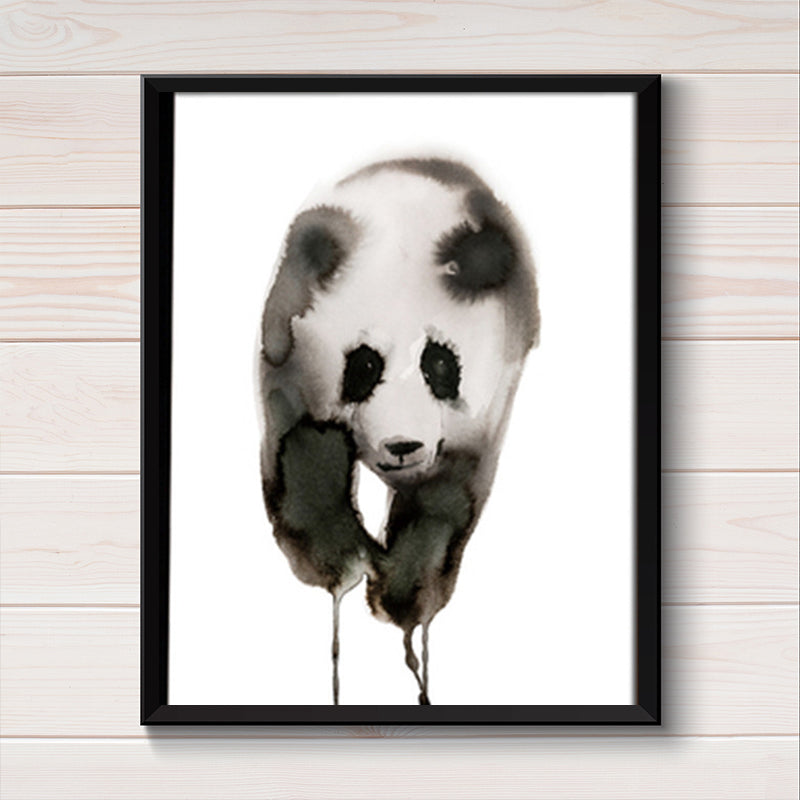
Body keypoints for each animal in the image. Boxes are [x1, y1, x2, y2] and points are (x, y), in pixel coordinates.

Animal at [258, 157, 539, 705]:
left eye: (440, 363)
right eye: (364, 365)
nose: (402, 445)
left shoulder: (485, 411)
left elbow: (444, 502)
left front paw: (405, 599)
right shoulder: (285, 351)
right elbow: (299, 452)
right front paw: (338, 561)